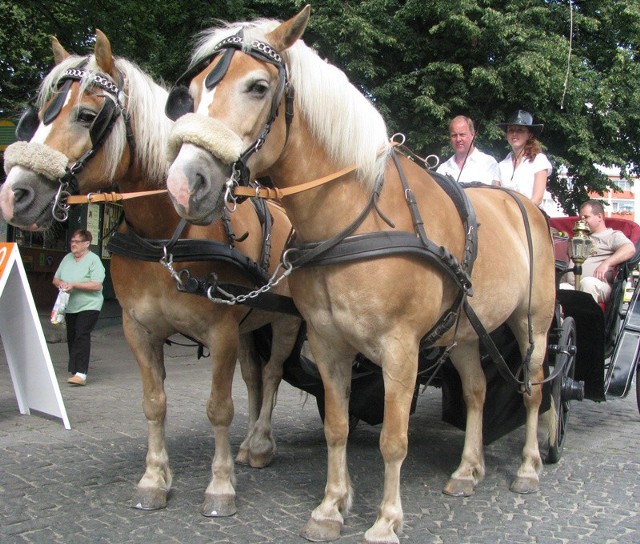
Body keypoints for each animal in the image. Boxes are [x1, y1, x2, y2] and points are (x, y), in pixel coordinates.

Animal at [0, 29, 302, 520]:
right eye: (37, 118)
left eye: (86, 115)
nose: (14, 194)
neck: (166, 235)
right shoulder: (139, 329)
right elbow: (154, 403)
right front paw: (154, 479)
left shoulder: (220, 331)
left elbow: (219, 407)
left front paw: (220, 487)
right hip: (248, 324)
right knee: (255, 377)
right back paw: (248, 444)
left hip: (286, 321)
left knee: (273, 373)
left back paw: (260, 444)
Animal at [162, 7, 556, 544]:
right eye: (195, 89)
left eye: (258, 87)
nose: (185, 184)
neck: (354, 219)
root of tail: (525, 207)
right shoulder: (328, 342)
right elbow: (338, 426)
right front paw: (331, 507)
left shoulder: (400, 349)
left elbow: (393, 439)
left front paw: (386, 520)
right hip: (464, 331)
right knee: (476, 390)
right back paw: (467, 469)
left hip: (533, 325)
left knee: (533, 389)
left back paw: (530, 467)